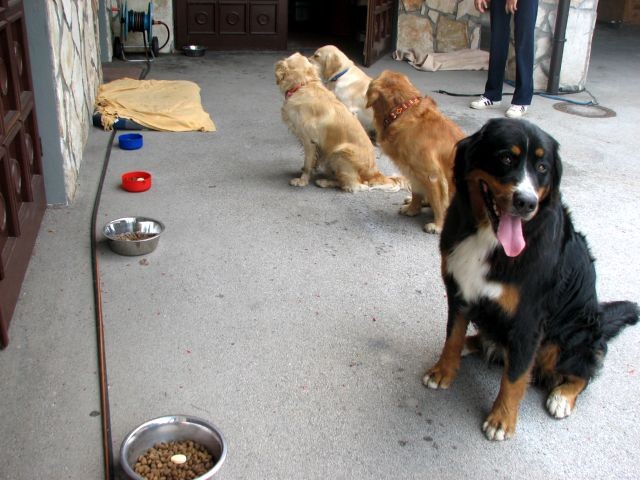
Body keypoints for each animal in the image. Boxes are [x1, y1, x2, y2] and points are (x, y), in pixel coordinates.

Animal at [274, 53, 404, 192]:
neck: (303, 85)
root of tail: (375, 173)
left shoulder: (309, 140)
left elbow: (308, 163)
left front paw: (302, 180)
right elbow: (313, 161)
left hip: (340, 153)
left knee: (354, 185)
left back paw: (324, 182)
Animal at [364, 71, 464, 234]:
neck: (401, 111)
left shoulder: (432, 175)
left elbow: (439, 203)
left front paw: (438, 225)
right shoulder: (412, 170)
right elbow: (416, 192)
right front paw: (412, 209)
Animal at [422, 120, 636, 442]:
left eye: (543, 167)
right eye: (506, 158)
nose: (526, 202)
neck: (487, 237)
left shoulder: (529, 317)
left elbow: (515, 375)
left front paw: (502, 419)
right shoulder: (460, 291)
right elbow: (453, 336)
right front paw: (443, 371)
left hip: (573, 333)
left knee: (581, 371)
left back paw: (562, 396)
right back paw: (475, 344)